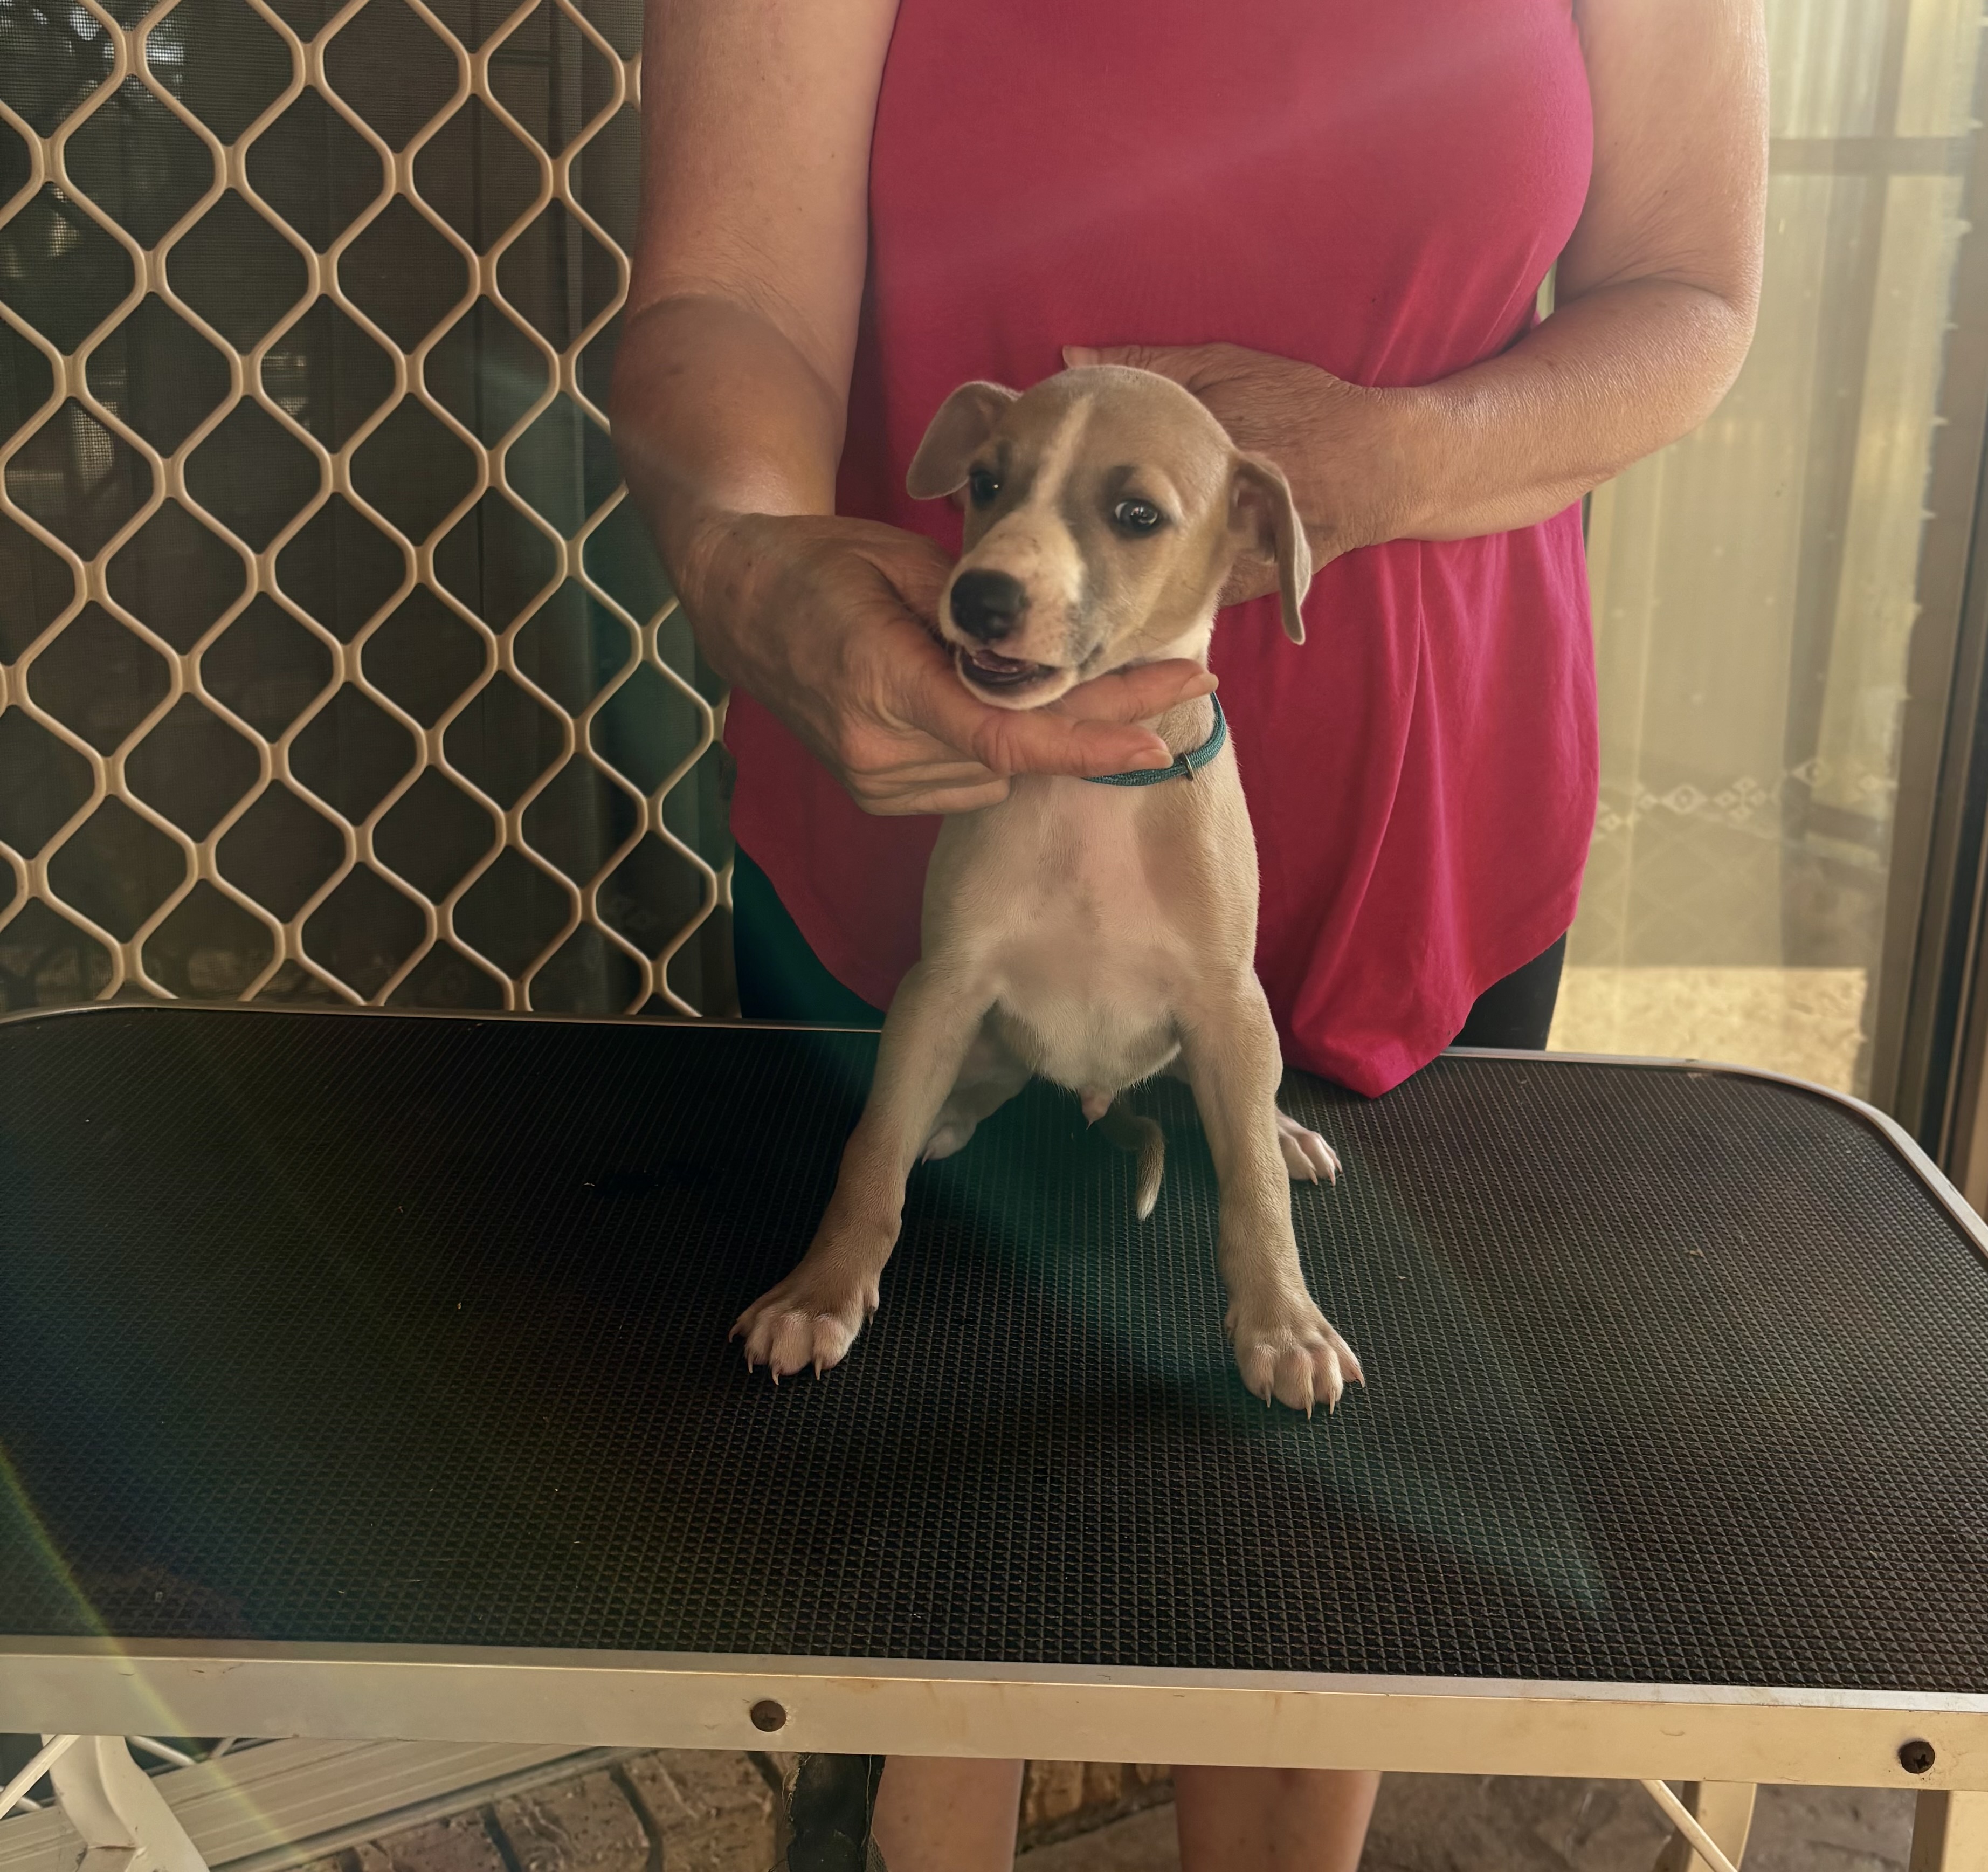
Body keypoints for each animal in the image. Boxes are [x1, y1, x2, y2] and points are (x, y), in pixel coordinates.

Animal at [733, 365, 1362, 1414]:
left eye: (1137, 513)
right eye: (987, 484)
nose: (981, 597)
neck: (1095, 783)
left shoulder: (1224, 1002)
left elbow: (1251, 1191)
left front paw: (1285, 1323)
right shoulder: (941, 984)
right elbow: (871, 1150)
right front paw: (817, 1294)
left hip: (1239, 1026)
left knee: (1249, 1104)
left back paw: (1284, 1132)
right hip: (978, 1029)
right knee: (968, 1086)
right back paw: (947, 1115)